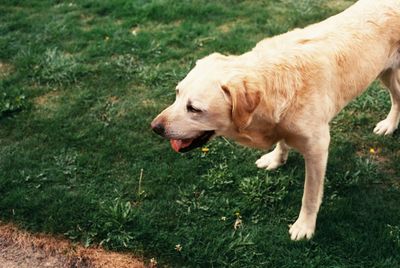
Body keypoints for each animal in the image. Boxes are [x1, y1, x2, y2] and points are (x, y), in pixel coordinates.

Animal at [151, 0, 400, 240]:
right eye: (177, 93)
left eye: (194, 108)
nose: (155, 127)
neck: (274, 82)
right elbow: (282, 142)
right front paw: (276, 159)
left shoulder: (317, 148)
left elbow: (310, 195)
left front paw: (304, 226)